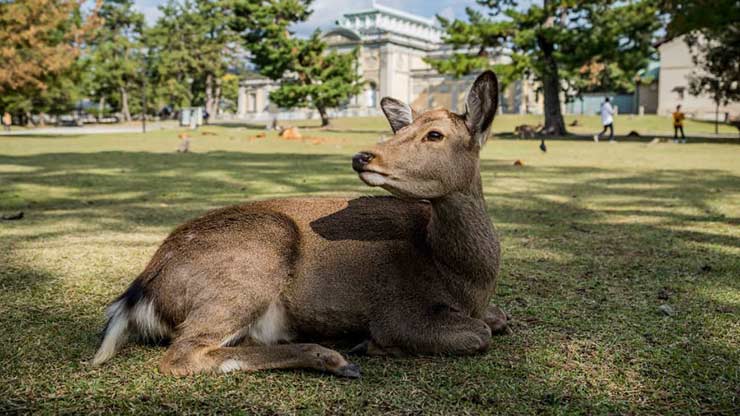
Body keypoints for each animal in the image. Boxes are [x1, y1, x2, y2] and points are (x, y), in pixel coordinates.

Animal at [91, 70, 508, 376]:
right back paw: (333, 358)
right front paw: (374, 344)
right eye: (401, 130)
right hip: (258, 257)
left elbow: (499, 318)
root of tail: (138, 293)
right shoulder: (399, 310)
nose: (362, 156)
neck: (466, 280)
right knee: (184, 354)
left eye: (434, 134)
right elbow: (480, 334)